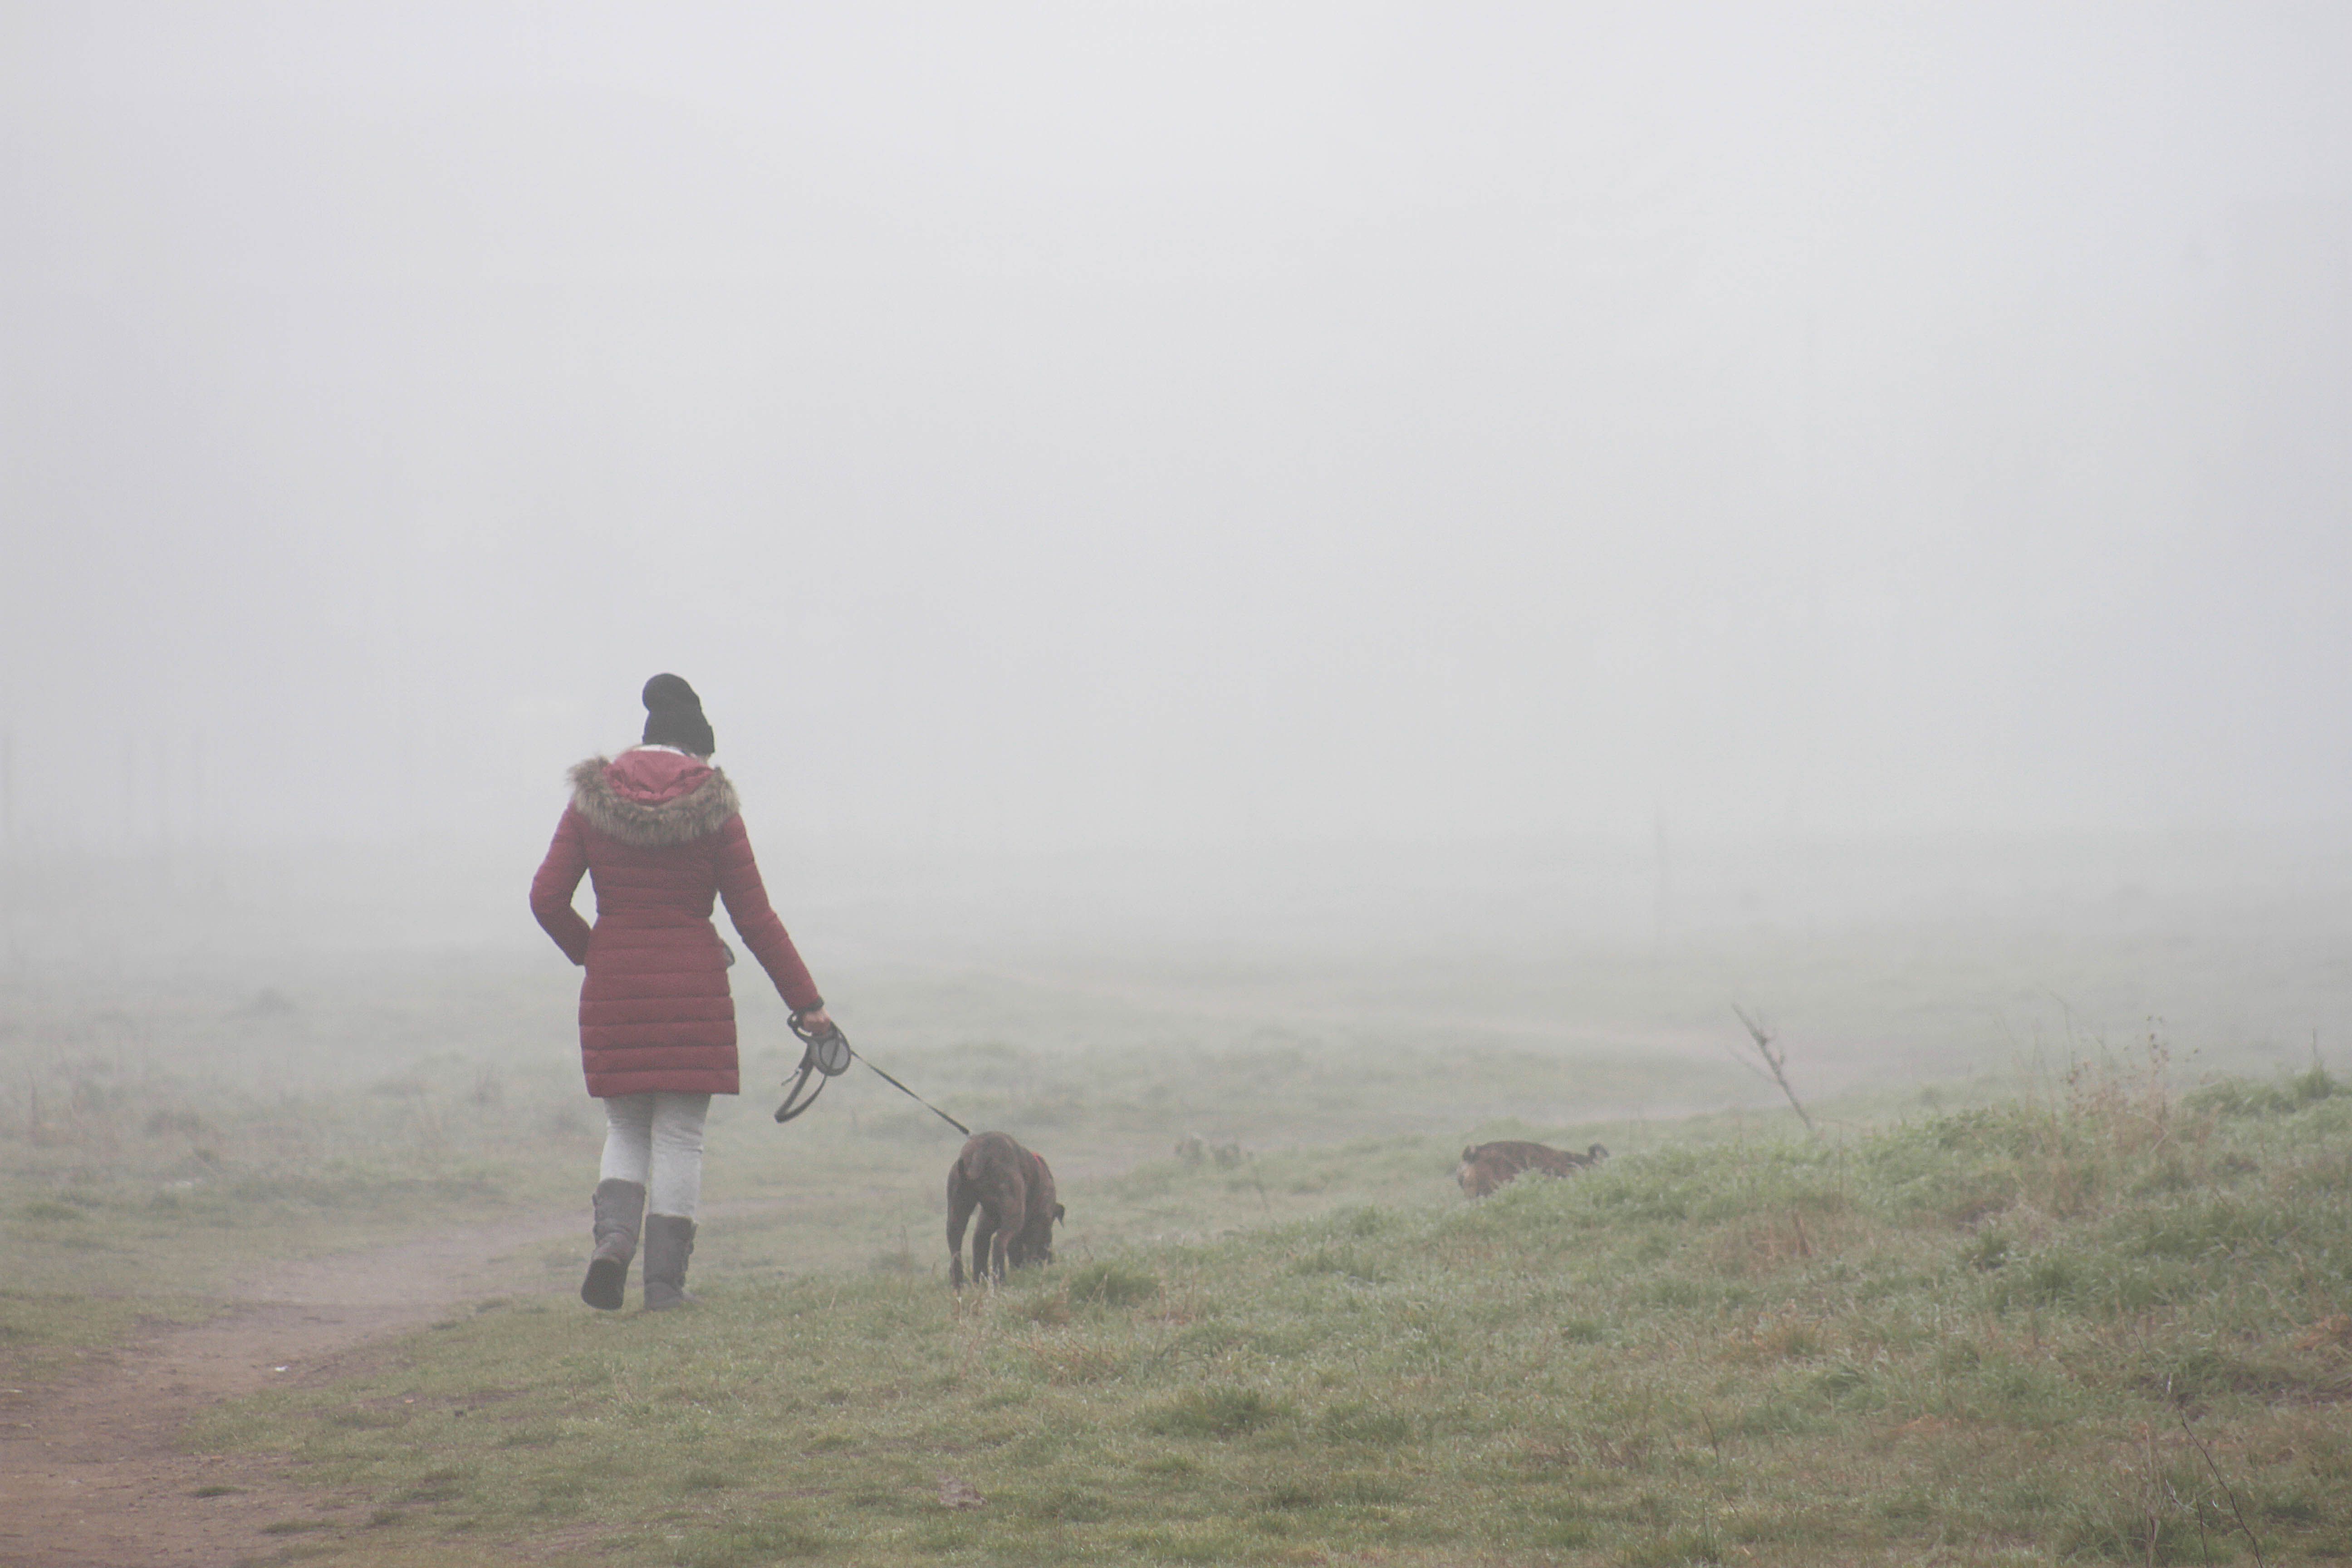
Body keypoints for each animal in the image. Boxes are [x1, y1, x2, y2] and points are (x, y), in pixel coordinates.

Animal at [950, 1133, 1072, 1298]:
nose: (1051, 1260)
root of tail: (979, 1153)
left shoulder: (986, 1224)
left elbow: (983, 1247)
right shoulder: (1037, 1223)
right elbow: (1029, 1250)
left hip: (957, 1214)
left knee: (957, 1250)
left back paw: (962, 1286)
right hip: (1014, 1214)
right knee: (999, 1243)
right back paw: (999, 1280)